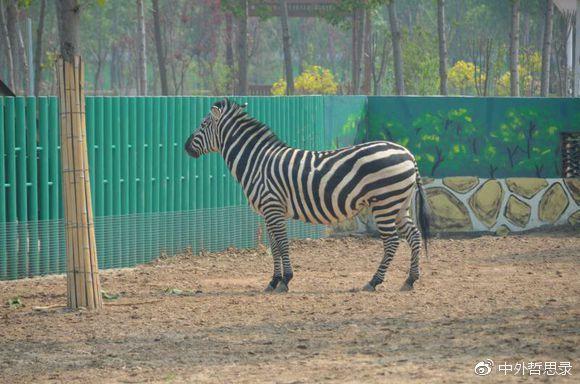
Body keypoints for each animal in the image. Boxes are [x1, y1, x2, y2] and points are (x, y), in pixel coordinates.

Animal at [186, 99, 430, 294]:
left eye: (203, 124)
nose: (187, 147)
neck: (257, 162)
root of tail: (408, 154)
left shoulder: (273, 206)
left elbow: (282, 244)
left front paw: (285, 281)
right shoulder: (268, 212)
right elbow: (274, 246)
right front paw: (273, 281)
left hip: (385, 202)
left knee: (392, 241)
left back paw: (374, 281)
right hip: (399, 204)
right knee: (414, 236)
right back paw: (410, 280)